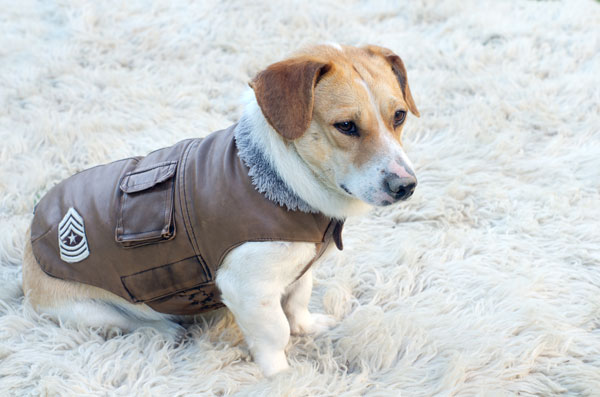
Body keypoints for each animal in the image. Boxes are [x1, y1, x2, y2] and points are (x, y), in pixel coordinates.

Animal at [21, 43, 420, 374]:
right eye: (346, 126)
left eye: (399, 116)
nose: (406, 186)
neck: (280, 178)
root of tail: (29, 243)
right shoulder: (248, 289)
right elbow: (276, 333)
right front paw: (281, 377)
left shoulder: (299, 271)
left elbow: (297, 304)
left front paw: (308, 327)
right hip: (93, 311)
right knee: (134, 322)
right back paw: (164, 328)